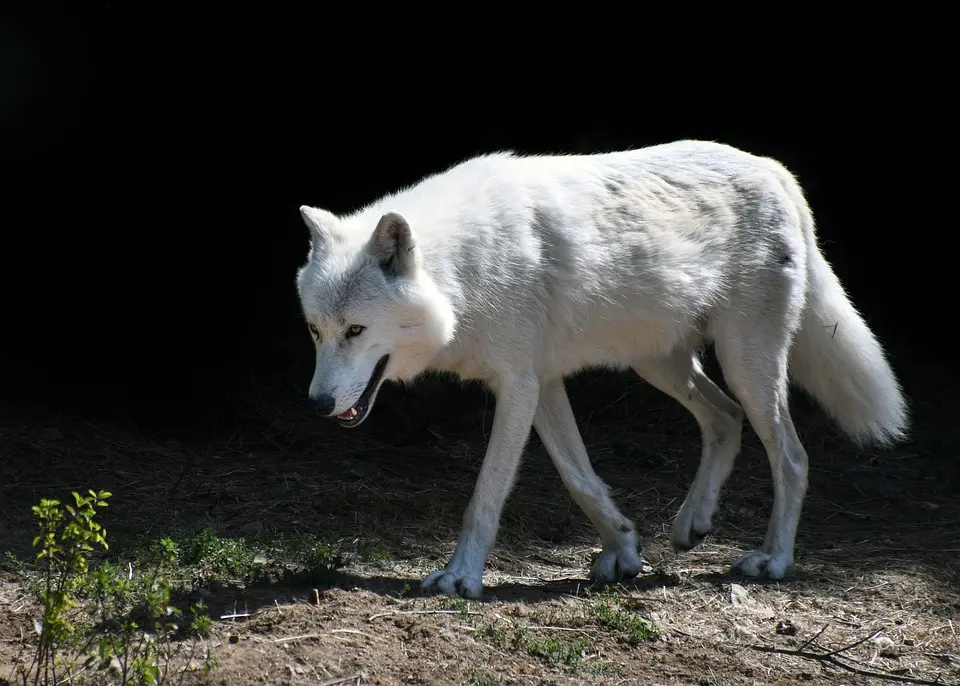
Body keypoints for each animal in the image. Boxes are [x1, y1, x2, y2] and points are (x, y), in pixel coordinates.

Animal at [296, 141, 912, 600]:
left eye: (356, 331)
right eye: (316, 331)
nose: (317, 406)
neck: (462, 272)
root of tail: (775, 169)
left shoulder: (517, 386)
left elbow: (485, 497)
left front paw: (460, 578)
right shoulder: (541, 385)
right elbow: (581, 479)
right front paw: (623, 549)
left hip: (745, 364)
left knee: (792, 455)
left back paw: (774, 560)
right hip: (661, 364)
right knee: (724, 418)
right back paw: (692, 524)